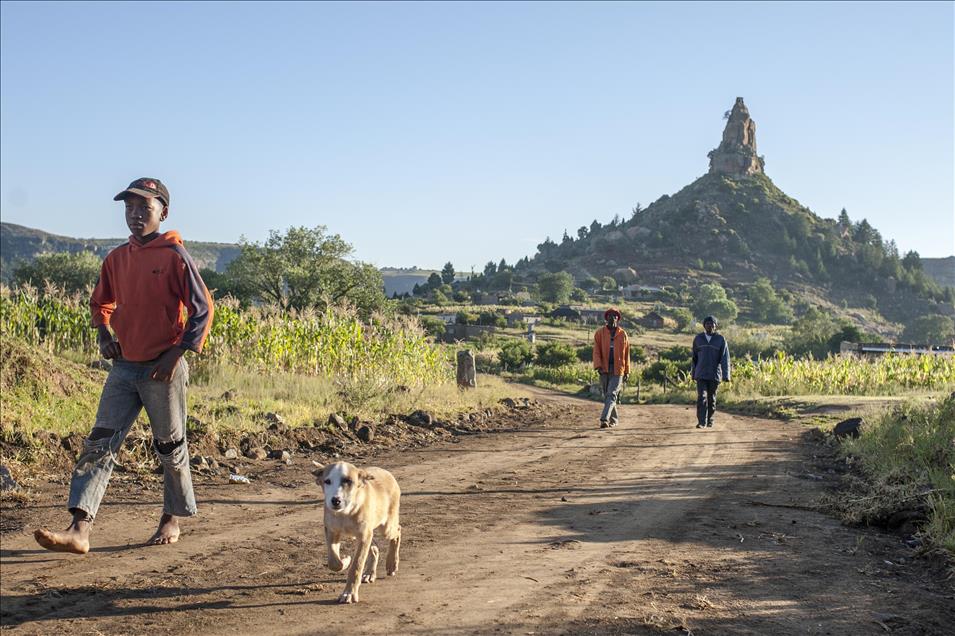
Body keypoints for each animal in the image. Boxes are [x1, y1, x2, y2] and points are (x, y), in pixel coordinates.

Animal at [314, 462, 404, 600]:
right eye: (327, 481)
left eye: (349, 481)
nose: (335, 500)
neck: (345, 513)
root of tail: (386, 472)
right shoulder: (331, 531)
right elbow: (333, 562)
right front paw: (345, 561)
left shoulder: (363, 535)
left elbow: (357, 564)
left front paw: (349, 593)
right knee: (375, 547)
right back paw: (369, 573)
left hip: (386, 527)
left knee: (398, 531)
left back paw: (392, 564)